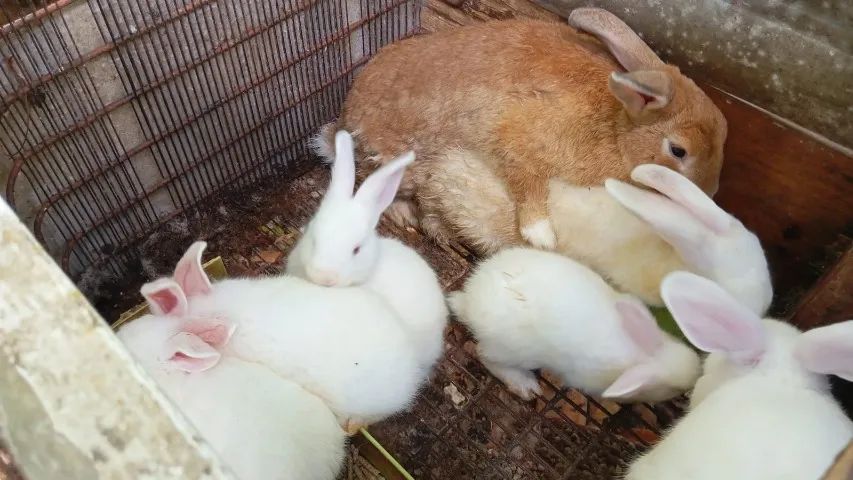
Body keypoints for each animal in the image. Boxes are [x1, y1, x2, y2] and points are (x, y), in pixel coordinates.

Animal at [316, 8, 726, 250]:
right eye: (678, 151)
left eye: (724, 133)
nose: (709, 194)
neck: (616, 128)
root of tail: (343, 123)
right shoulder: (517, 135)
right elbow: (528, 182)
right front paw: (542, 236)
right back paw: (403, 214)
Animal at [447, 246, 700, 402]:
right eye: (674, 390)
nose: (695, 377)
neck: (641, 351)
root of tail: (468, 301)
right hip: (515, 351)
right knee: (486, 356)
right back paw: (525, 385)